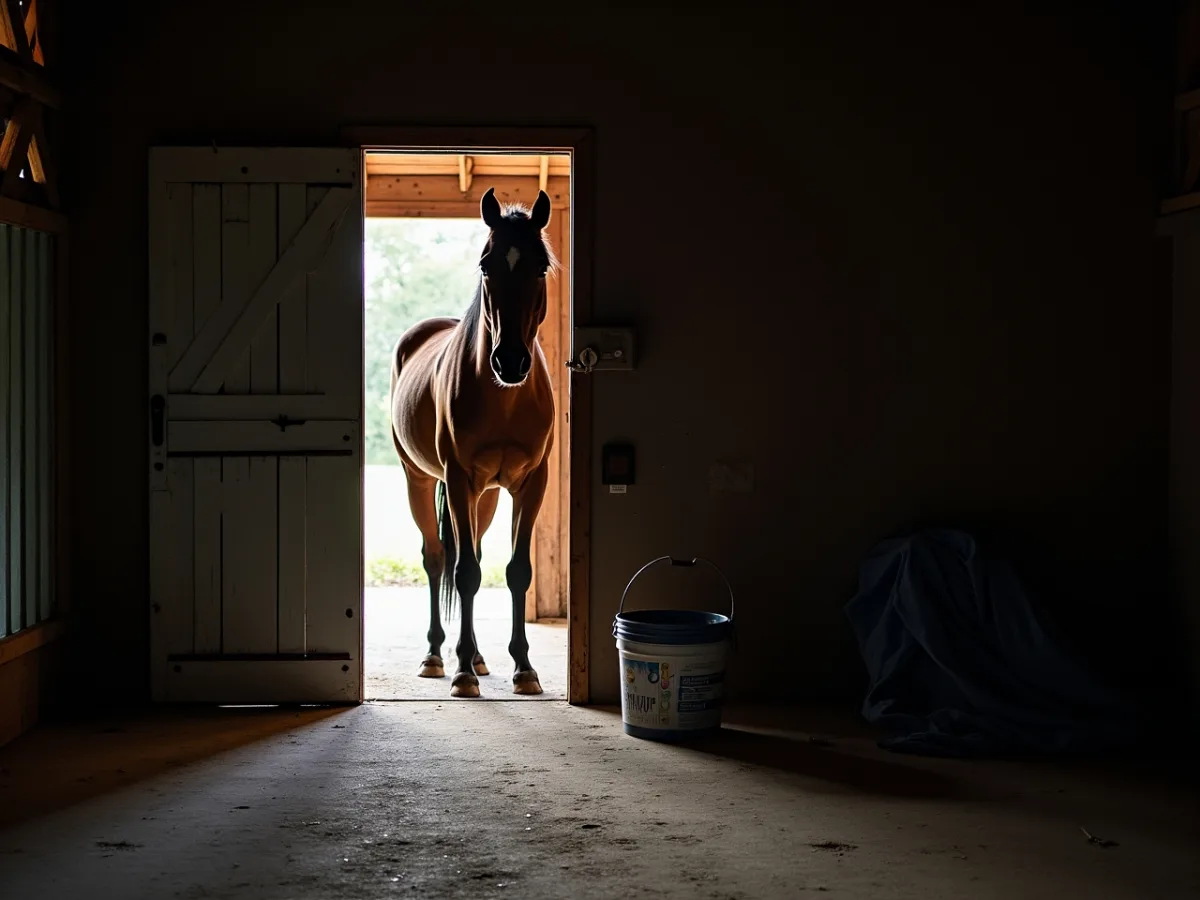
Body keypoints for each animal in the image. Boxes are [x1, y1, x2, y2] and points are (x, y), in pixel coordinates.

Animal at [389, 186, 557, 698]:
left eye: (539, 267)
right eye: (486, 266)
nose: (511, 362)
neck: (503, 398)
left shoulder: (530, 484)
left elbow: (515, 571)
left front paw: (524, 667)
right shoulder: (459, 479)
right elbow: (462, 573)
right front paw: (461, 672)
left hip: (486, 497)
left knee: (475, 554)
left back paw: (480, 657)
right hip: (421, 480)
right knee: (436, 558)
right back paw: (436, 656)